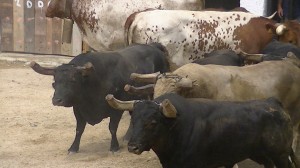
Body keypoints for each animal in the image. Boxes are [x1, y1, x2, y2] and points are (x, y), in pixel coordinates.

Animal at [30, 42, 171, 153]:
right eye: (54, 82)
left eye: (73, 80)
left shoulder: (115, 108)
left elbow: (112, 128)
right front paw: (73, 148)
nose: (57, 100)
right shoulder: (78, 109)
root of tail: (153, 46)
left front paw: (114, 147)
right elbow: (79, 129)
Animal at [106, 93, 298, 168]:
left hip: (280, 155)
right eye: (133, 120)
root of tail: (273, 103)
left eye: (153, 122)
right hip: (261, 154)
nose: (133, 147)